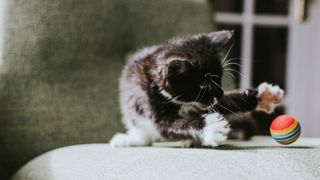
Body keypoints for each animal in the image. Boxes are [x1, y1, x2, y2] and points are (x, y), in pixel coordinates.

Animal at [109, 29, 282, 148]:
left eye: (219, 77)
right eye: (203, 85)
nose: (220, 93)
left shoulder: (208, 102)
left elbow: (228, 102)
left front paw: (264, 96)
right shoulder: (150, 103)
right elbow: (168, 126)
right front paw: (211, 128)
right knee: (142, 131)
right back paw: (129, 139)